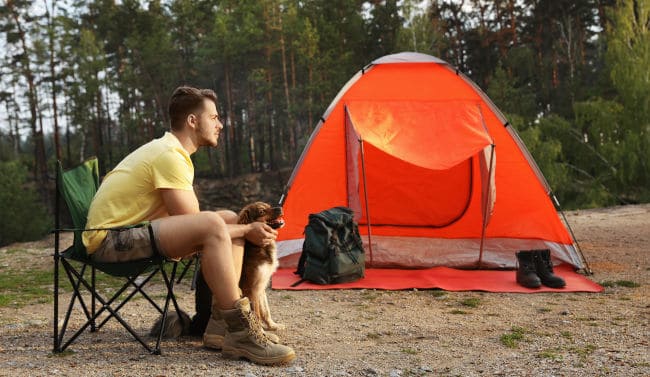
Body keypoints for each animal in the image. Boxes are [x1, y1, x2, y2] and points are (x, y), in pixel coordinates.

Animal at [238, 200, 284, 328]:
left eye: (269, 206)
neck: (260, 247)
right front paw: (260, 330)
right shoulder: (251, 289)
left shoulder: (261, 284)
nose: (280, 208)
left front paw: (273, 326)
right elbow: (256, 313)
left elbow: (265, 310)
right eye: (262, 211)